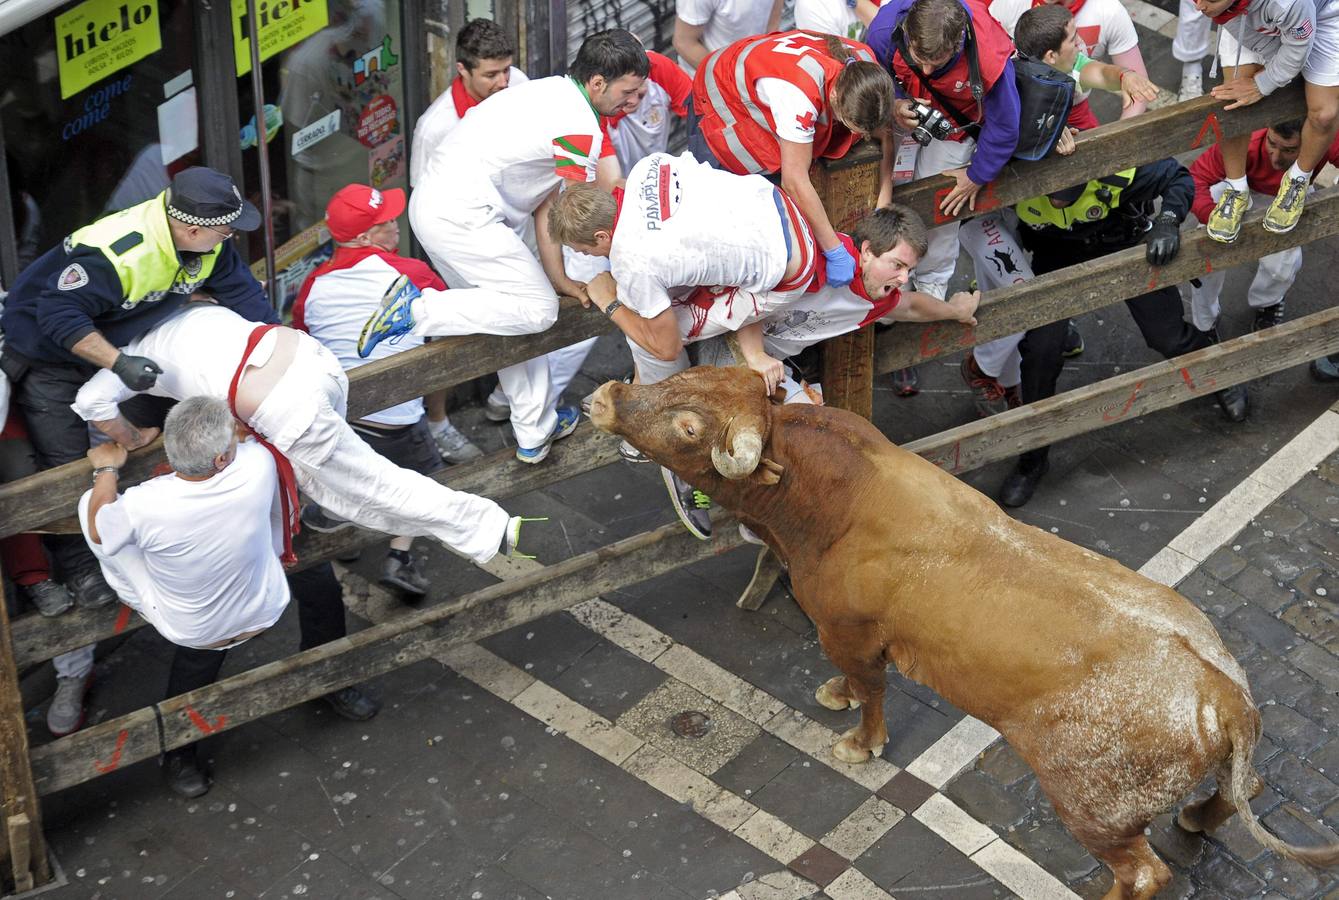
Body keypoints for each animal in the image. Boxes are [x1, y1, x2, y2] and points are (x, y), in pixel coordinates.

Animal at [586, 364, 1339, 900]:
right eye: (681, 378)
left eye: (688, 426)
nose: (607, 394)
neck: (830, 500)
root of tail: (1220, 689)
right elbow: (848, 683)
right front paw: (834, 695)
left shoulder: (849, 632)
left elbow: (872, 693)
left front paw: (859, 743)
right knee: (1244, 792)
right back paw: (1196, 819)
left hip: (1091, 805)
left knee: (1142, 874)